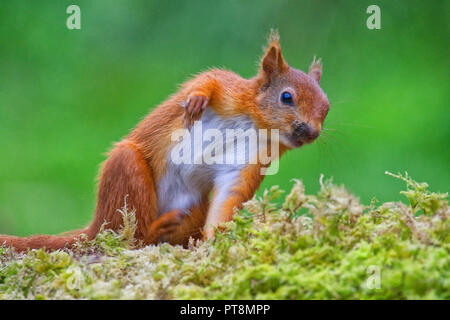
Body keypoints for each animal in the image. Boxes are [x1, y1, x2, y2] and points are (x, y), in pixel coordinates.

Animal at [0, 33, 330, 252]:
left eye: (326, 109)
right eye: (286, 97)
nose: (311, 133)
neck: (256, 126)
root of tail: (96, 224)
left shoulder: (250, 161)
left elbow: (230, 197)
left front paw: (215, 241)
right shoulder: (231, 90)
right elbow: (209, 80)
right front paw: (197, 98)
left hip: (194, 204)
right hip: (127, 171)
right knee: (130, 237)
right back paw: (154, 230)